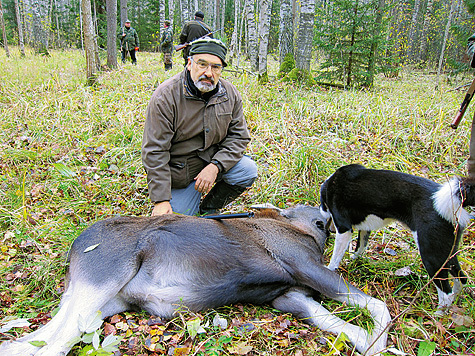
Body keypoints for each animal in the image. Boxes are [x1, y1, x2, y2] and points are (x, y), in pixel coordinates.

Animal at [0, 204, 390, 354]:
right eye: (314, 211)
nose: (328, 212)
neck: (305, 235)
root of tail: (75, 247)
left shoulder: (288, 294)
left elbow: (349, 330)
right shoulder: (303, 266)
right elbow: (378, 308)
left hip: (99, 302)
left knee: (31, 340)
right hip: (103, 279)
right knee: (54, 344)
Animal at [320, 164, 475, 312]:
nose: (328, 230)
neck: (331, 184)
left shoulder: (343, 228)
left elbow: (336, 257)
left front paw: (329, 269)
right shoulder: (365, 228)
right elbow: (360, 247)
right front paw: (352, 260)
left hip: (431, 256)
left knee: (446, 293)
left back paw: (438, 314)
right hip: (446, 253)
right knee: (461, 279)